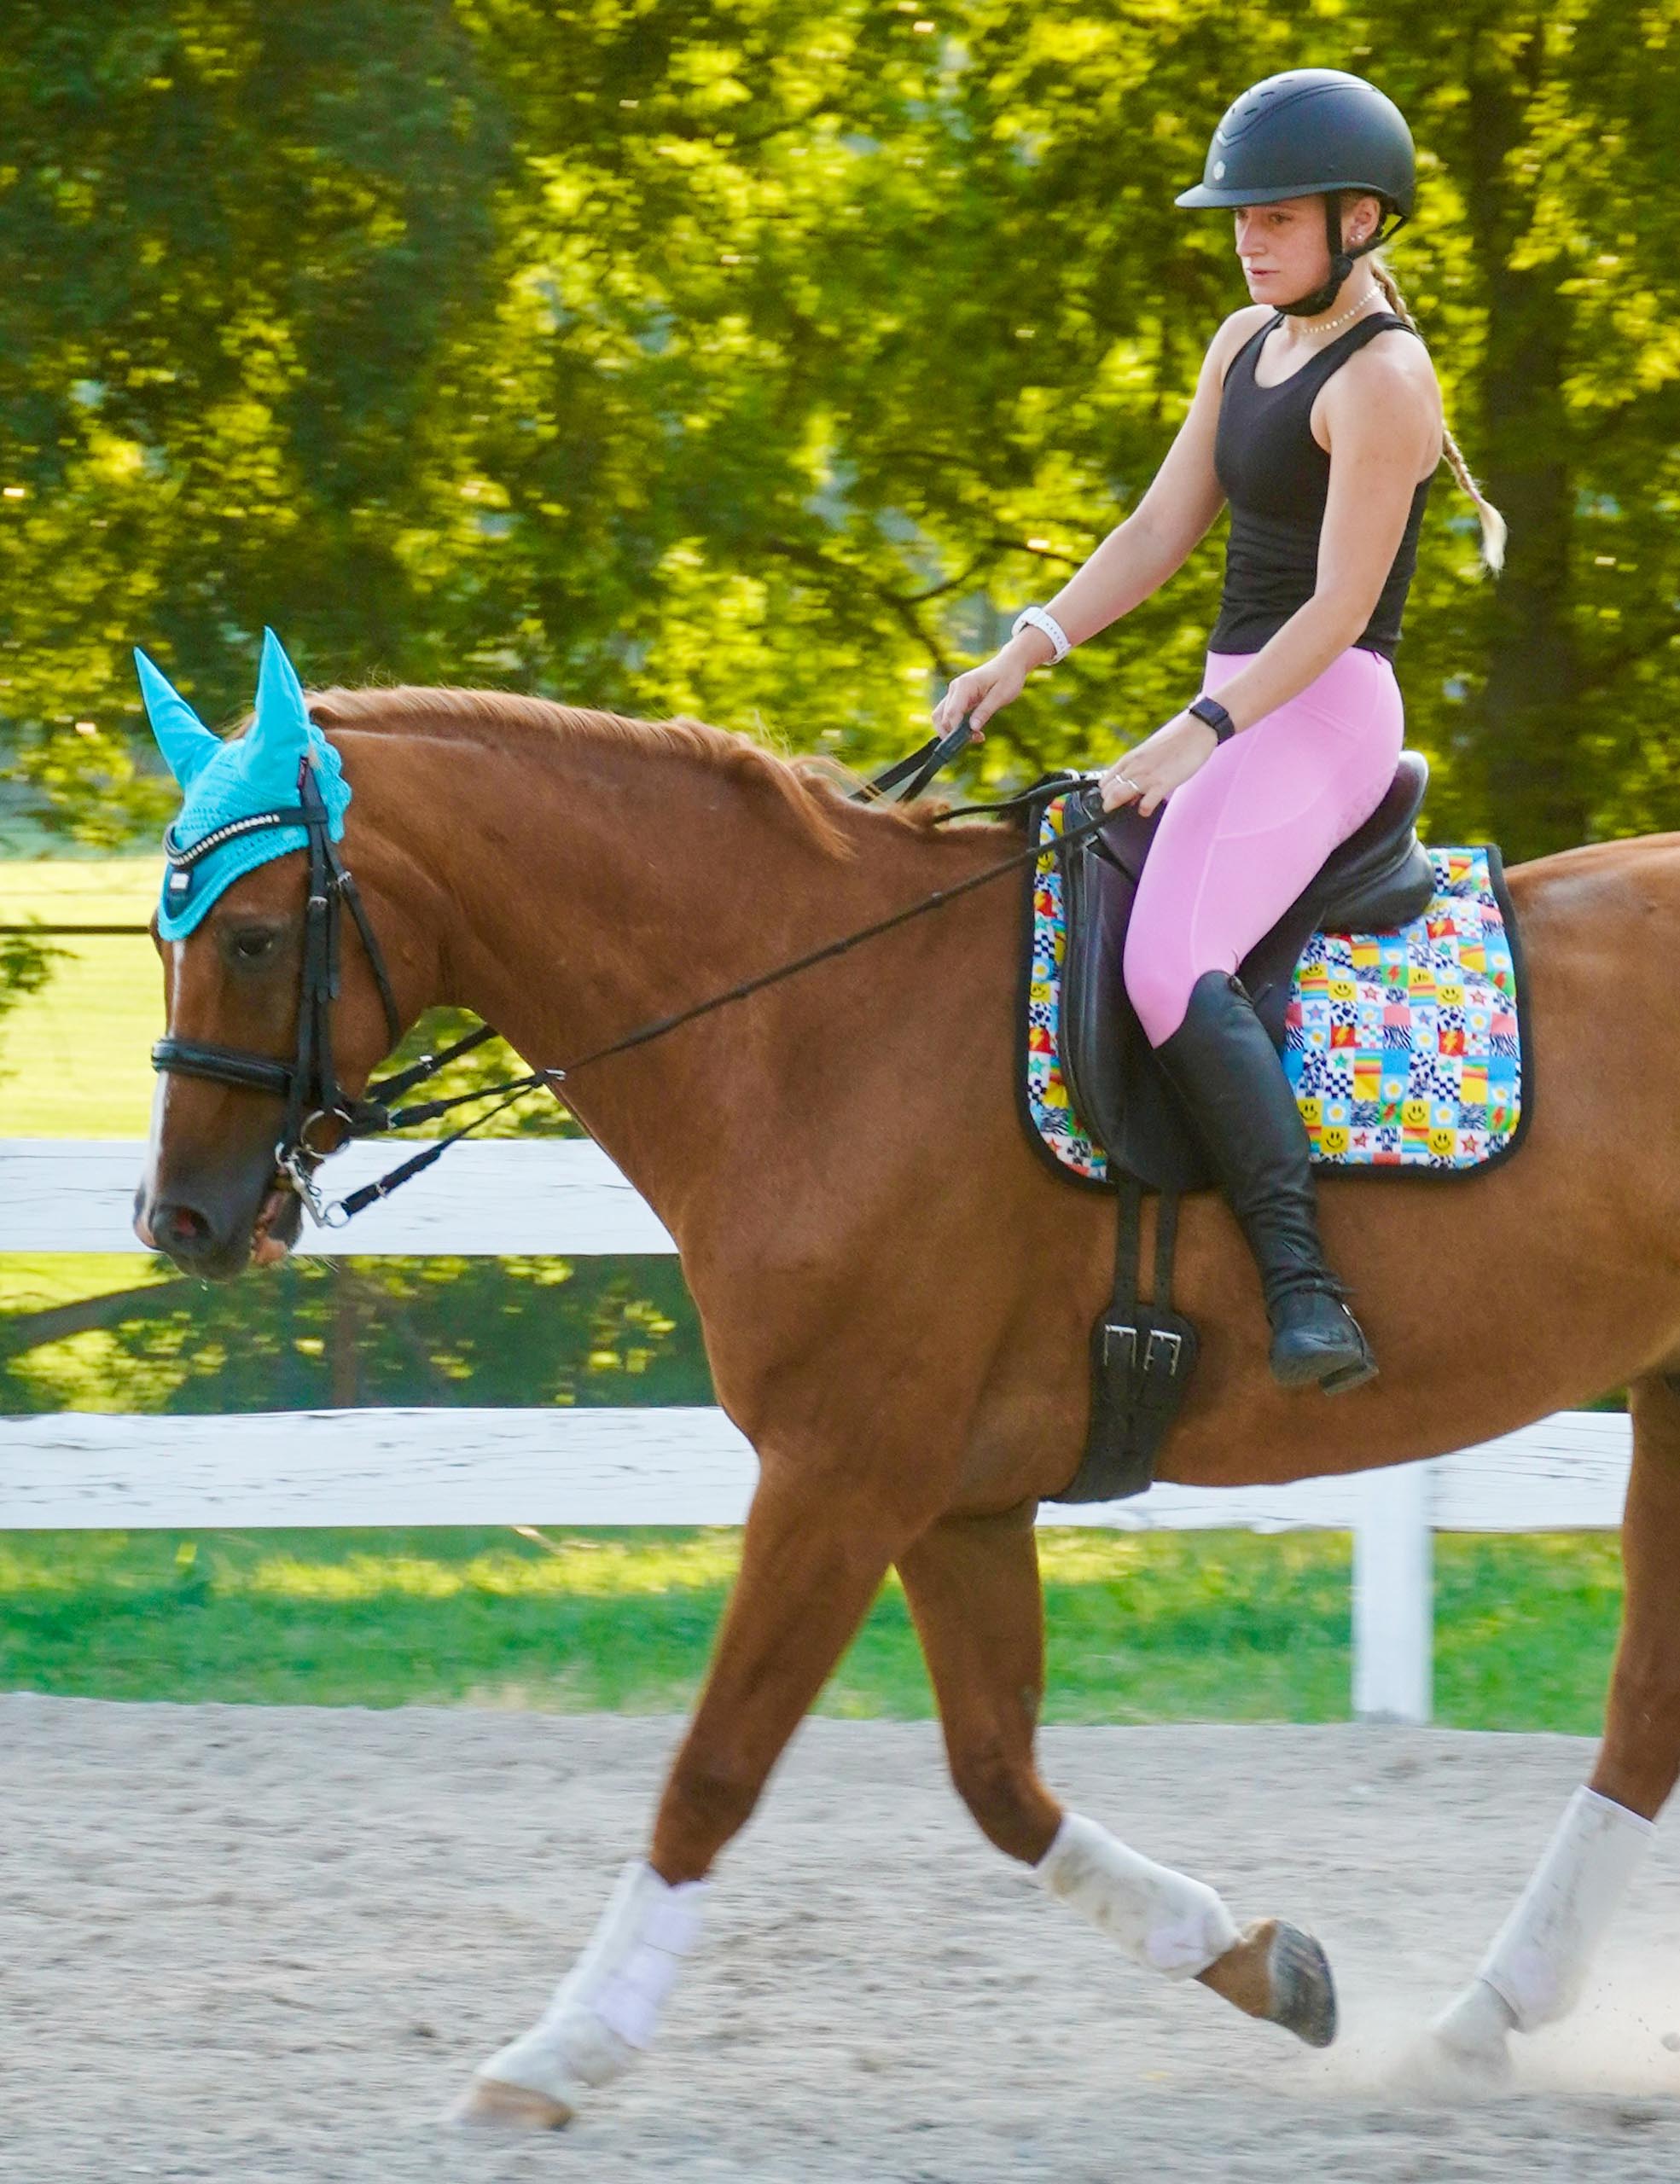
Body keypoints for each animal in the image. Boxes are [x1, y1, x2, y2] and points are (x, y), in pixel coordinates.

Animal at [141, 681, 1677, 2114]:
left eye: (254, 937)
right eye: (163, 939)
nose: (183, 1221)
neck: (809, 1023)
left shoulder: (840, 1472)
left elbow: (715, 1765)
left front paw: (561, 2051)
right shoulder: (954, 1504)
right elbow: (997, 1780)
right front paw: (1255, 1959)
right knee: (1641, 1713)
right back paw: (1481, 2021)